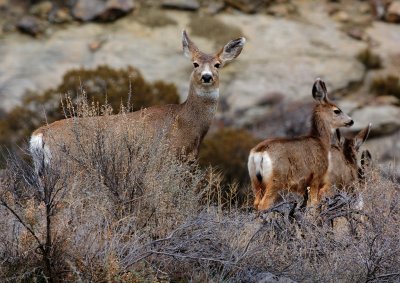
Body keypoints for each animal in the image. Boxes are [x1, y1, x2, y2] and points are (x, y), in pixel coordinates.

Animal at [29, 30, 245, 174]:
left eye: (218, 64)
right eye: (195, 64)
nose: (207, 77)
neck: (184, 122)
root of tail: (38, 135)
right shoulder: (163, 161)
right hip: (68, 168)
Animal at [248, 79, 354, 212]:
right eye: (337, 110)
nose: (351, 121)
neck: (321, 142)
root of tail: (260, 152)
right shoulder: (316, 177)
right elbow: (313, 204)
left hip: (255, 182)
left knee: (256, 204)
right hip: (275, 180)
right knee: (264, 204)